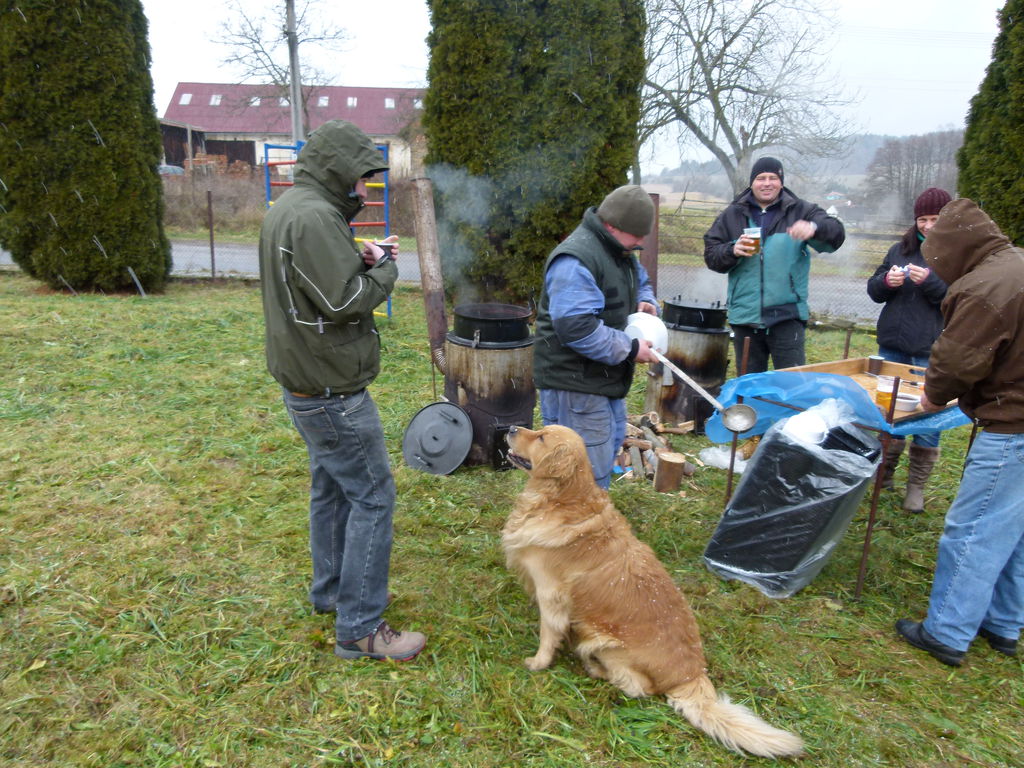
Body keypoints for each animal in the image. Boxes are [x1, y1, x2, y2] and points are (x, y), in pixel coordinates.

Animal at [502, 424, 803, 759]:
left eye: (541, 438)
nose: (512, 427)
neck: (562, 499)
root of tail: (691, 674)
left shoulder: (550, 594)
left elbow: (548, 634)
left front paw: (538, 663)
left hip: (603, 641)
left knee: (638, 686)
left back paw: (595, 669)